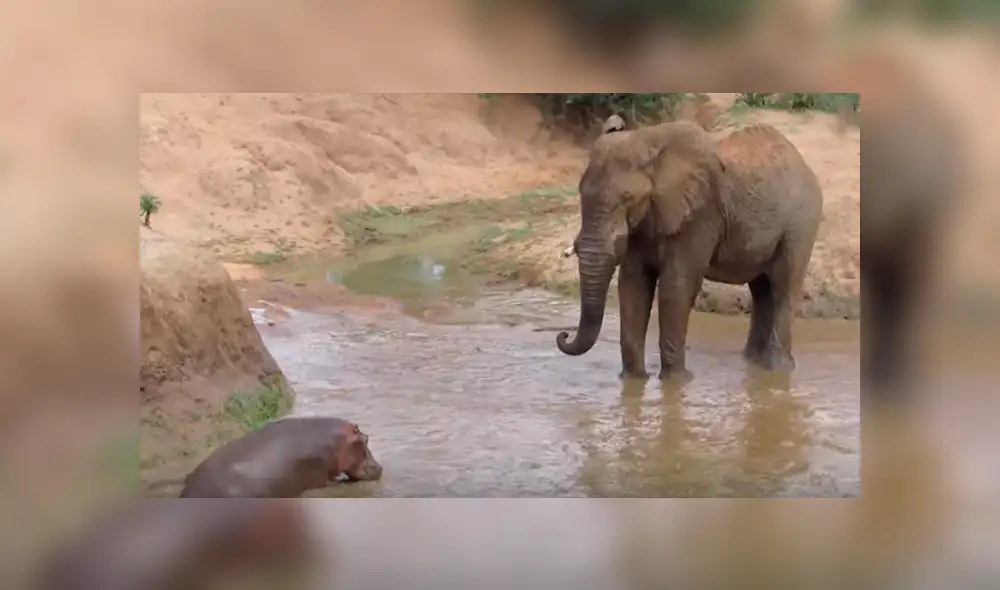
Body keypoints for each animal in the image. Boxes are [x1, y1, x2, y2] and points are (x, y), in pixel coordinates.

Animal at [556, 116, 823, 379]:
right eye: (581, 192)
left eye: (628, 198)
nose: (563, 335)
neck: (648, 142)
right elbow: (633, 285)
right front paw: (634, 381)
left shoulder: (700, 214)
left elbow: (676, 286)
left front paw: (677, 382)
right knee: (762, 291)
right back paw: (753, 364)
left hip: (802, 222)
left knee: (784, 286)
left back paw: (777, 369)